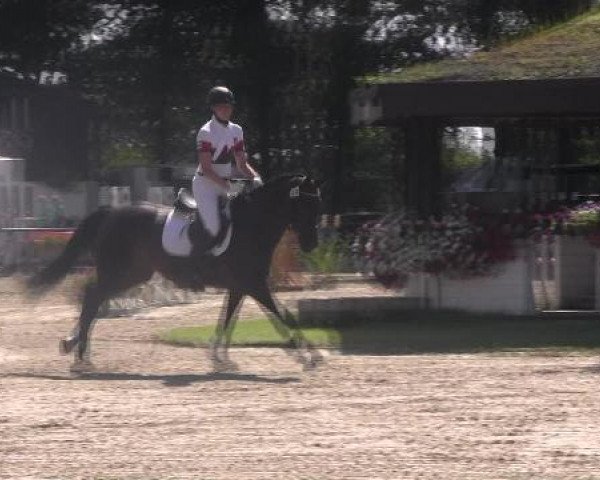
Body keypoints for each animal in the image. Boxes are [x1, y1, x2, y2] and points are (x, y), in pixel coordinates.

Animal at [29, 175, 324, 372]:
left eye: (317, 204)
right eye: (304, 205)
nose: (312, 244)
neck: (251, 224)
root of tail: (112, 212)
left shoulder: (242, 286)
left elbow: (229, 319)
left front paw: (220, 358)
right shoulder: (255, 285)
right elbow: (283, 314)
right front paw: (310, 355)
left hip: (134, 274)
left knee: (95, 299)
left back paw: (73, 347)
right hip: (120, 273)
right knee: (92, 298)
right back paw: (81, 357)